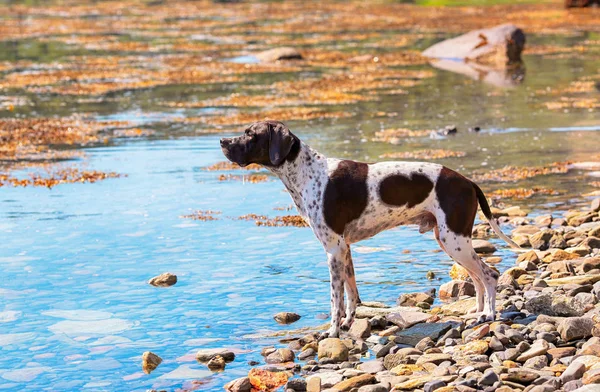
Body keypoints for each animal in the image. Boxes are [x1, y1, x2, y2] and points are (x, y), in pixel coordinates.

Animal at [220, 119, 520, 336]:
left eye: (250, 134)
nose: (222, 141)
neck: (307, 173)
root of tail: (468, 181)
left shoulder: (333, 250)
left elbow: (336, 300)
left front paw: (332, 332)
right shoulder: (345, 249)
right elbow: (352, 295)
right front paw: (346, 325)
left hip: (455, 240)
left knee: (490, 275)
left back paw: (490, 315)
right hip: (450, 241)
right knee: (477, 278)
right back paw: (478, 313)